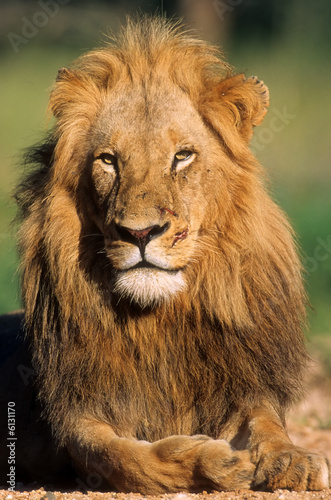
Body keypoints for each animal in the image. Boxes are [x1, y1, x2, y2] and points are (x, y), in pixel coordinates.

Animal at [0, 14, 331, 492]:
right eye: (108, 160)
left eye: (182, 156)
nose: (140, 233)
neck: (161, 321)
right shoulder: (78, 415)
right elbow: (125, 457)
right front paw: (216, 461)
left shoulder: (241, 388)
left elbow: (267, 423)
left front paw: (293, 460)